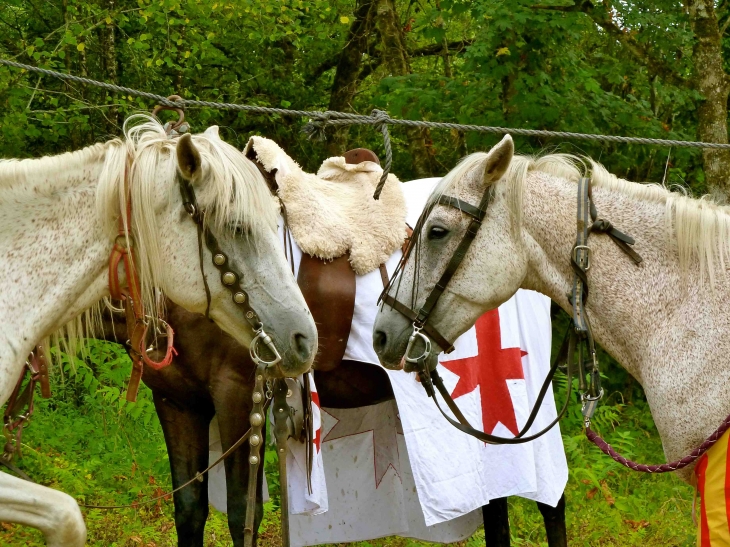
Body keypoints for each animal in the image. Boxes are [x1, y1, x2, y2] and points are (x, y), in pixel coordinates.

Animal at [0, 114, 316, 544]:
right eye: (237, 227)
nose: (305, 339)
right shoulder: (178, 403)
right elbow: (187, 509)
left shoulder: (234, 396)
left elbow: (239, 515)